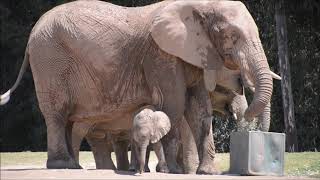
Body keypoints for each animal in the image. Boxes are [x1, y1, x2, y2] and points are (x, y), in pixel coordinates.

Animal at [0, 0, 278, 174]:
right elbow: (174, 105)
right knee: (58, 113)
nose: (250, 126)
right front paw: (173, 171)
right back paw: (63, 166)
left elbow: (199, 109)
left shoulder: (190, 56)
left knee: (69, 119)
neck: (199, 6)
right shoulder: (161, 56)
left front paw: (206, 173)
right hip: (50, 61)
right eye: (232, 36)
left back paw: (74, 166)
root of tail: (33, 31)